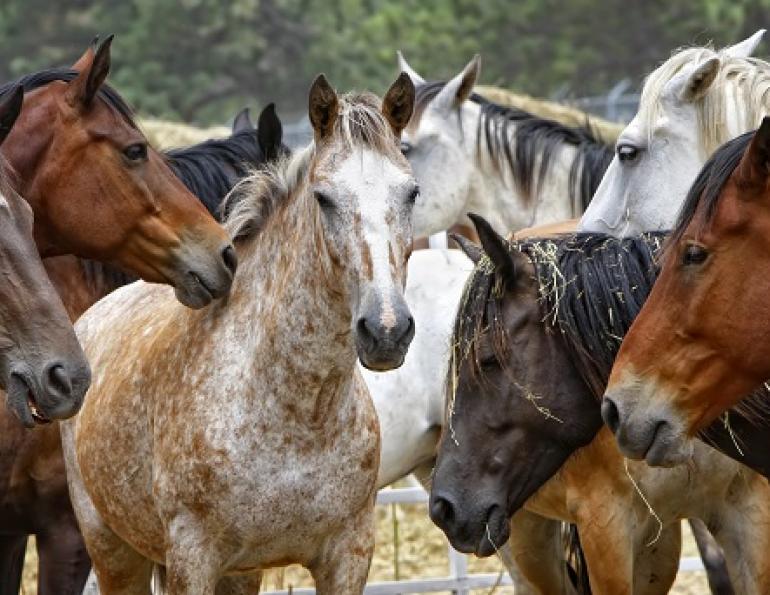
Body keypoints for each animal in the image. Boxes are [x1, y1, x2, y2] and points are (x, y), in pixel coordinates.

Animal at [62, 74, 417, 594]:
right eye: (323, 197)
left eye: (411, 193)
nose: (386, 329)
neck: (297, 413)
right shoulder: (193, 558)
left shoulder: (347, 555)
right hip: (113, 551)